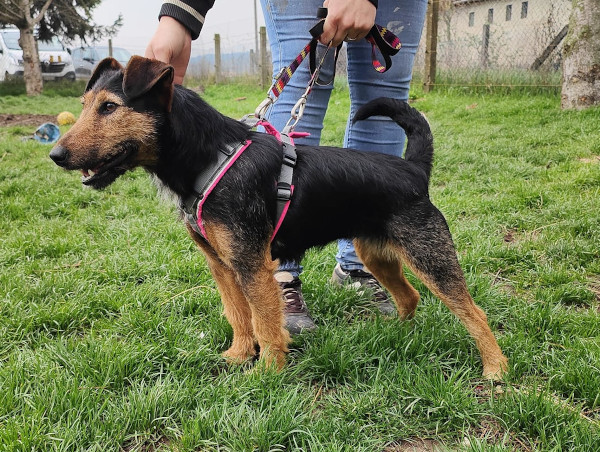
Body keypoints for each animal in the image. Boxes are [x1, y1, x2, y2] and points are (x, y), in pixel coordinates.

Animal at [49, 56, 507, 379]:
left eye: (110, 107)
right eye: (85, 107)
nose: (56, 155)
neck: (210, 157)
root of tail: (414, 170)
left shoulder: (252, 264)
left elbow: (267, 322)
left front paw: (267, 374)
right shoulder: (222, 265)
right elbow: (238, 315)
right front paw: (237, 357)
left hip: (429, 255)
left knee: (473, 312)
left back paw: (496, 369)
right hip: (375, 253)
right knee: (409, 296)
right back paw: (400, 335)